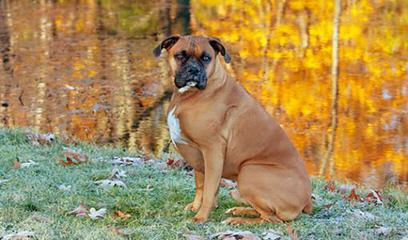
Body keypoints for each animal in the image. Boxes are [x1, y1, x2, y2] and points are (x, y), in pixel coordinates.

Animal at [153, 34, 312, 224]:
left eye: (206, 58)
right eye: (180, 56)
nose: (193, 70)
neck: (190, 95)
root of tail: (307, 201)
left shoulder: (212, 150)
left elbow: (209, 188)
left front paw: (201, 216)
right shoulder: (198, 156)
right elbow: (201, 184)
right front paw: (196, 207)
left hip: (249, 172)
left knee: (271, 218)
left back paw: (238, 220)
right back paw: (239, 210)